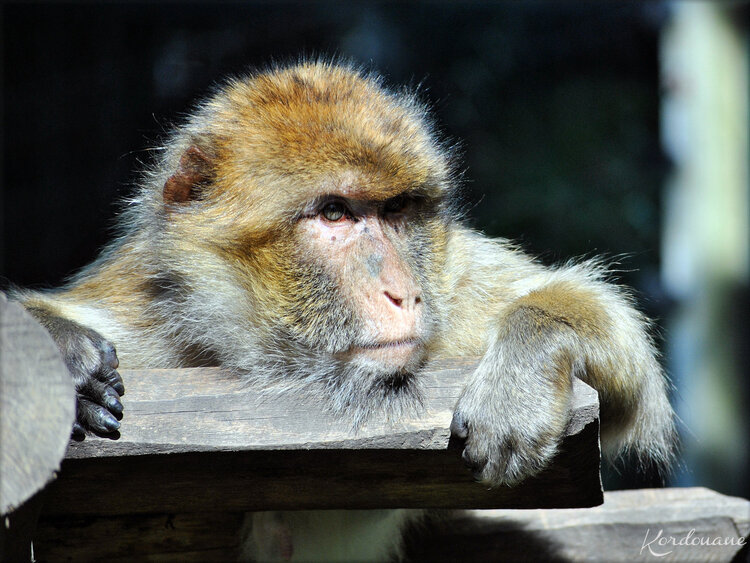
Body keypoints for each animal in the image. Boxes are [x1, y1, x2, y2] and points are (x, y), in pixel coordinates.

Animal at [11, 59, 680, 560]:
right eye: (335, 212)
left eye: (397, 210)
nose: (404, 293)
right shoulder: (148, 317)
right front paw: (58, 353)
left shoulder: (453, 290)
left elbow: (621, 349)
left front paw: (520, 381)